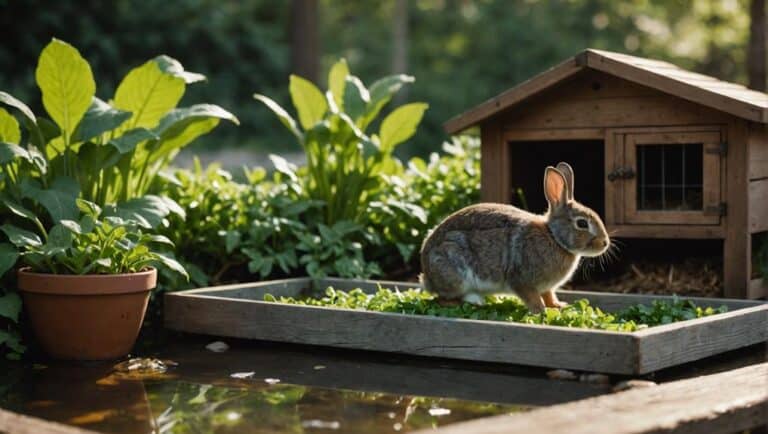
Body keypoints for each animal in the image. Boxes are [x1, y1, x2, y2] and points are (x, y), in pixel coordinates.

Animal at [419, 162, 610, 313]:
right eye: (582, 223)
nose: (605, 243)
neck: (554, 237)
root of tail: (427, 276)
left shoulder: (546, 287)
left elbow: (548, 295)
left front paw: (558, 306)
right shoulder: (521, 280)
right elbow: (532, 298)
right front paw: (540, 312)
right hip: (453, 268)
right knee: (442, 299)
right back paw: (473, 301)